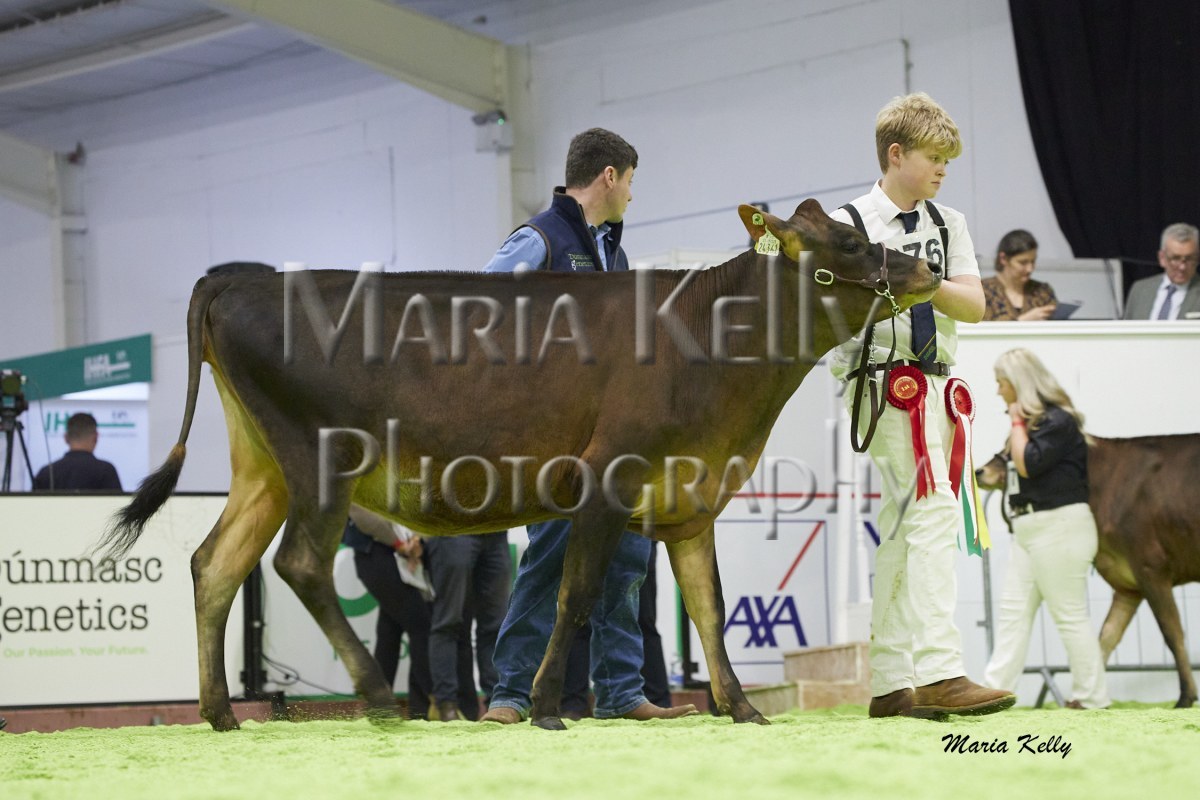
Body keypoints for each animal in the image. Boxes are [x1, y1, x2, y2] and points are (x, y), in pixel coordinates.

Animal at [97, 200, 939, 731]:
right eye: (850, 246)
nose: (923, 270)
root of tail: (236, 277)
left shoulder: (688, 499)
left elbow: (708, 606)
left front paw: (740, 707)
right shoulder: (605, 481)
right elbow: (577, 596)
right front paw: (544, 709)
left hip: (263, 466)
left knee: (215, 563)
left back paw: (219, 713)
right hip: (320, 456)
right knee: (298, 564)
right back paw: (375, 693)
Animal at [977, 434, 1200, 707]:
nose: (979, 471)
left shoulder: (1151, 567)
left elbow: (1173, 633)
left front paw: (1185, 697)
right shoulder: (1128, 585)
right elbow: (1107, 636)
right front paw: (1085, 699)